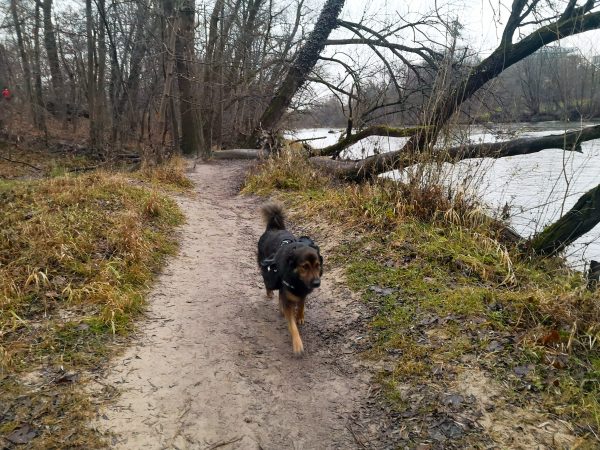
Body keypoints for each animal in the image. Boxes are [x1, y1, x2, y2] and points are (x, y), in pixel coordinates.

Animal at [257, 203, 323, 354]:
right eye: (304, 266)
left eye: (317, 265)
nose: (317, 283)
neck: (297, 279)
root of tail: (273, 228)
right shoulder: (287, 293)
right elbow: (292, 325)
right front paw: (297, 344)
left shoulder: (302, 291)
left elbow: (301, 304)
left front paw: (300, 316)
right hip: (265, 266)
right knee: (267, 281)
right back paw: (270, 293)